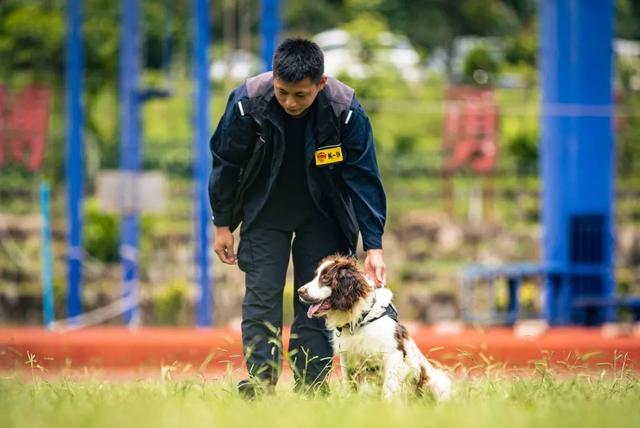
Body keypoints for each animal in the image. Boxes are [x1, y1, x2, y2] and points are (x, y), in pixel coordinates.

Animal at [298, 254, 452, 402]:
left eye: (325, 277)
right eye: (316, 276)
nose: (299, 291)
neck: (361, 319)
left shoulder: (393, 355)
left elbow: (388, 389)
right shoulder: (347, 359)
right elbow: (350, 387)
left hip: (437, 382)